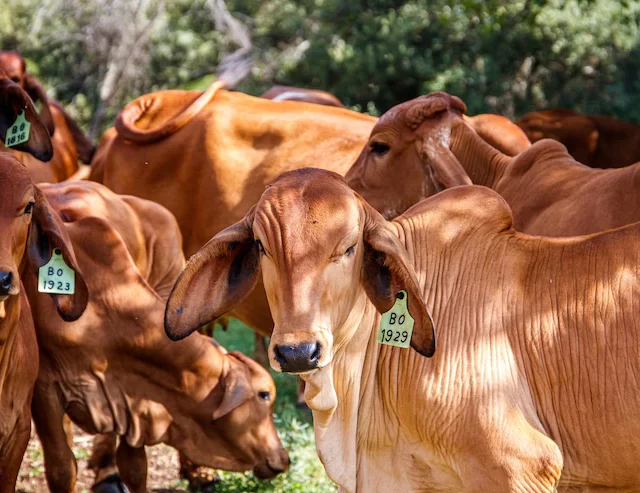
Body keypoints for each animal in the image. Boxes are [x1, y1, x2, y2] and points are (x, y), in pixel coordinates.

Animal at [22, 182, 288, 492]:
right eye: (265, 394)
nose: (284, 458)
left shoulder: (135, 400)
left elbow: (135, 467)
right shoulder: (45, 388)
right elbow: (62, 467)